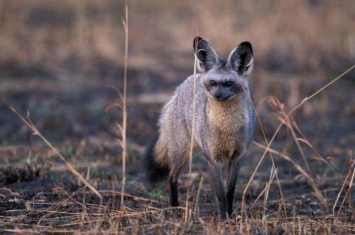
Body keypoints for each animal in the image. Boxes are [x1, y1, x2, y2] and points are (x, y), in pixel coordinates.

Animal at [143, 36, 258, 218]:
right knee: (172, 175)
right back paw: (174, 206)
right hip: (182, 152)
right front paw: (223, 218)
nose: (217, 95)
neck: (228, 129)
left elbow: (229, 192)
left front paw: (230, 216)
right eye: (213, 83)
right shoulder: (212, 159)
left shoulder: (237, 157)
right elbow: (220, 195)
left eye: (229, 83)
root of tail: (187, 81)